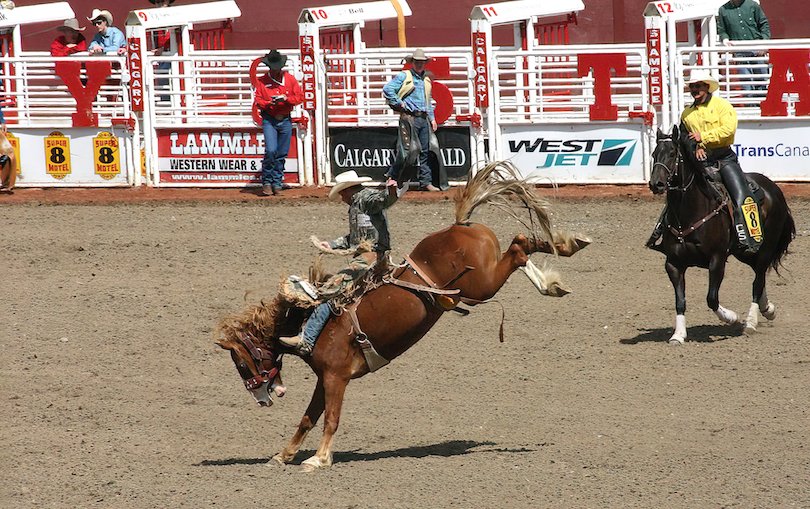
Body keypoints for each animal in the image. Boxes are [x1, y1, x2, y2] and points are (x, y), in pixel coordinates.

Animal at [218, 161, 592, 470]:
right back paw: (564, 255)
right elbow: (308, 418)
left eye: (241, 365)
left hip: (483, 283)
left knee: (517, 247)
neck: (308, 320)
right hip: (480, 283)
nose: (262, 400)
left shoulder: (335, 377)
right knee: (523, 243)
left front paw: (319, 459)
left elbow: (330, 418)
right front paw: (284, 455)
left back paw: (559, 261)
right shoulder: (325, 379)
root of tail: (461, 225)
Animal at [648, 125, 792, 344]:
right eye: (654, 154)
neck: (689, 213)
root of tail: (774, 188)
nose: (656, 184)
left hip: (765, 248)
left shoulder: (717, 260)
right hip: (744, 251)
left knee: (758, 281)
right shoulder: (673, 263)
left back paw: (750, 323)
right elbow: (680, 301)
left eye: (672, 153)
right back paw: (768, 309)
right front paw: (678, 335)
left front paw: (731, 317)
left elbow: (711, 298)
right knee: (759, 278)